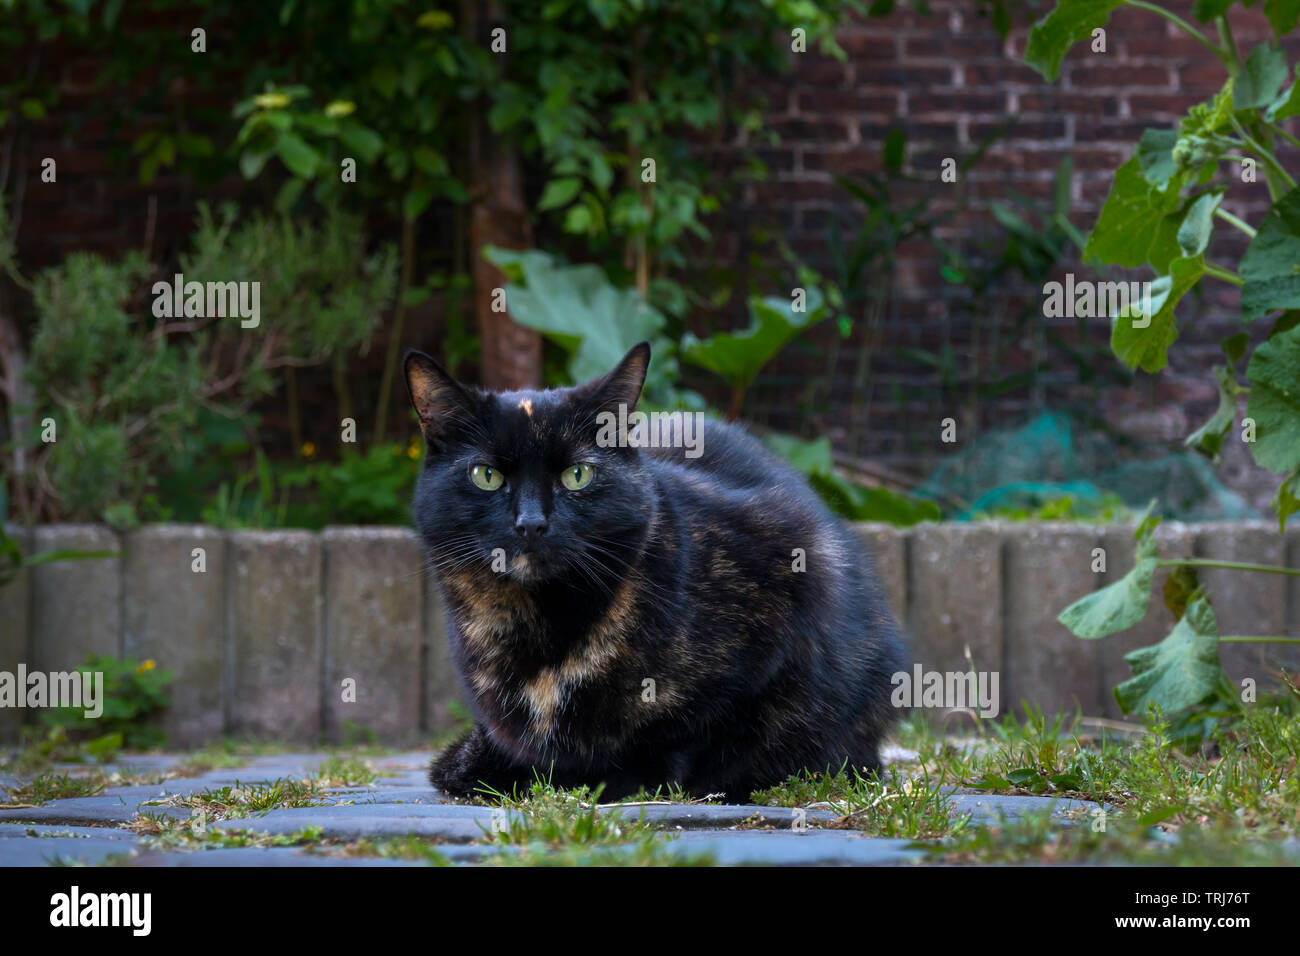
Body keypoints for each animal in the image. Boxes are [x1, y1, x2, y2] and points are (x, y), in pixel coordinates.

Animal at [405, 343, 904, 801]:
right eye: (486, 475)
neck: (540, 626)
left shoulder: (792, 569)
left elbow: (696, 732)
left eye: (577, 475)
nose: (531, 523)